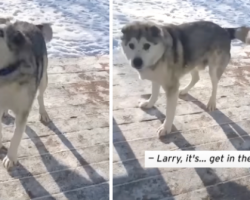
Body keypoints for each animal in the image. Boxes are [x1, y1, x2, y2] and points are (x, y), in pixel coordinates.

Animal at [0, 19, 52, 169]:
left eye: (0, 33)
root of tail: (32, 24)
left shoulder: (23, 110)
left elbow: (16, 137)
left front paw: (11, 158)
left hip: (43, 80)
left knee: (40, 96)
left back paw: (43, 113)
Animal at [121, 21, 250, 138]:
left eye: (146, 45)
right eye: (131, 45)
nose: (136, 62)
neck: (160, 54)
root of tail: (224, 29)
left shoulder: (171, 87)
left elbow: (169, 112)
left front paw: (166, 128)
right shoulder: (156, 78)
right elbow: (154, 94)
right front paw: (149, 104)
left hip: (213, 69)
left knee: (215, 85)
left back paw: (211, 102)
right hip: (191, 62)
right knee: (196, 78)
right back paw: (184, 91)